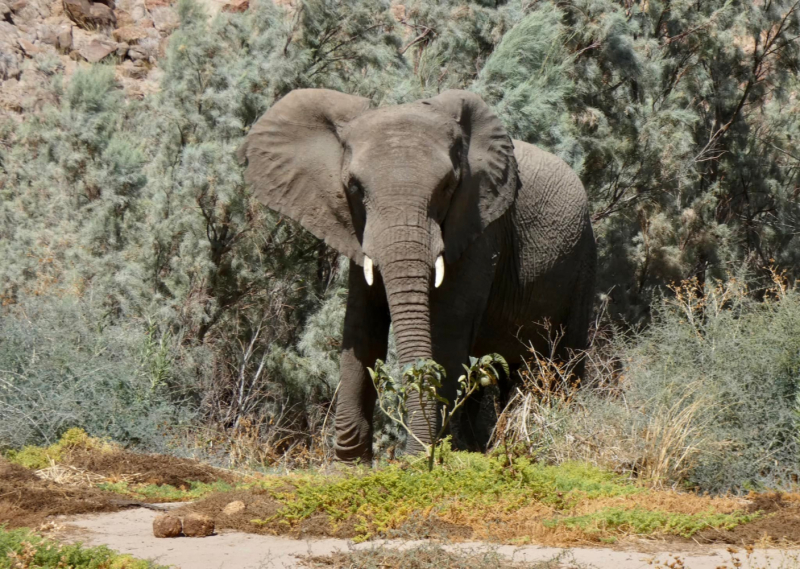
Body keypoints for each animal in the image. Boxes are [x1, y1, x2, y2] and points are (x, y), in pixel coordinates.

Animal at [241, 89, 596, 462]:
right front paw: (350, 467)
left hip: (584, 257)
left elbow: (446, 330)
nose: (411, 457)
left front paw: (429, 458)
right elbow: (362, 327)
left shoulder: (480, 228)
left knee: (563, 362)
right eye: (354, 188)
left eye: (448, 186)